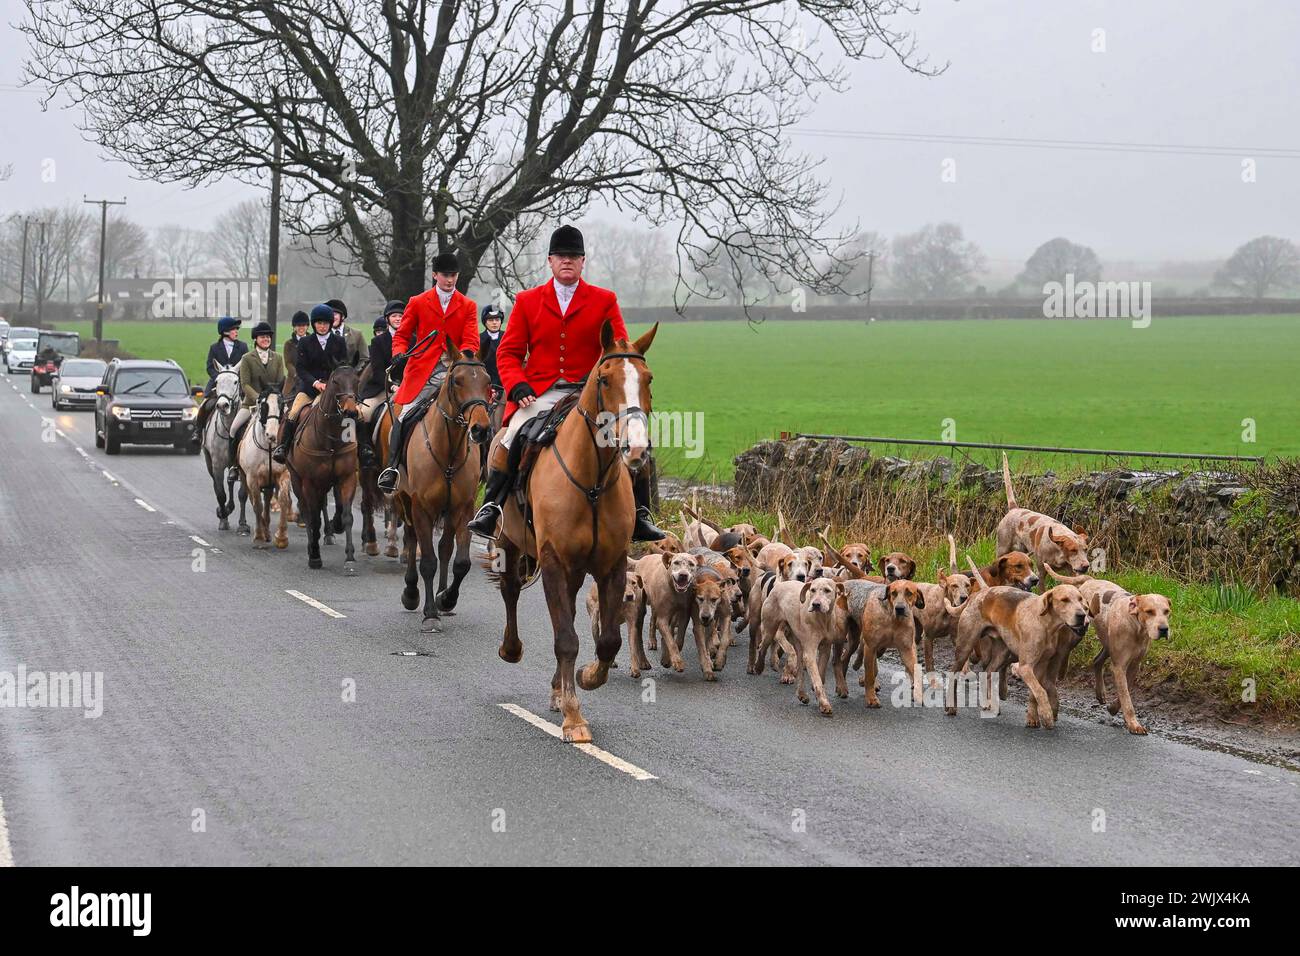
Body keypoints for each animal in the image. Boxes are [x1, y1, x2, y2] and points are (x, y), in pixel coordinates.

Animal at [287, 364, 361, 572]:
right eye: (335, 381)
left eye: (356, 380)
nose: (350, 411)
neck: (331, 438)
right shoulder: (310, 482)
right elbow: (313, 518)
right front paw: (314, 555)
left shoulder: (347, 478)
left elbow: (347, 515)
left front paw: (350, 557)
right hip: (297, 480)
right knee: (306, 511)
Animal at [390, 340, 491, 632]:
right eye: (457, 381)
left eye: (487, 381)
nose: (481, 429)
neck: (448, 450)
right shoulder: (421, 508)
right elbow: (427, 561)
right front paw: (430, 613)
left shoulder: (464, 508)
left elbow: (461, 562)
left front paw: (446, 599)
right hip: (405, 501)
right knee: (412, 539)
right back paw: (412, 593)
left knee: (445, 547)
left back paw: (442, 593)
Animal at [493, 319, 665, 738]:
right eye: (604, 379)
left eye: (648, 378)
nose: (636, 449)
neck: (592, 481)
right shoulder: (555, 560)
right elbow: (566, 639)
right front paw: (574, 715)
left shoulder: (612, 565)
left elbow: (607, 640)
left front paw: (586, 678)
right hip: (510, 542)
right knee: (511, 593)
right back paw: (512, 649)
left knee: (567, 612)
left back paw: (560, 687)